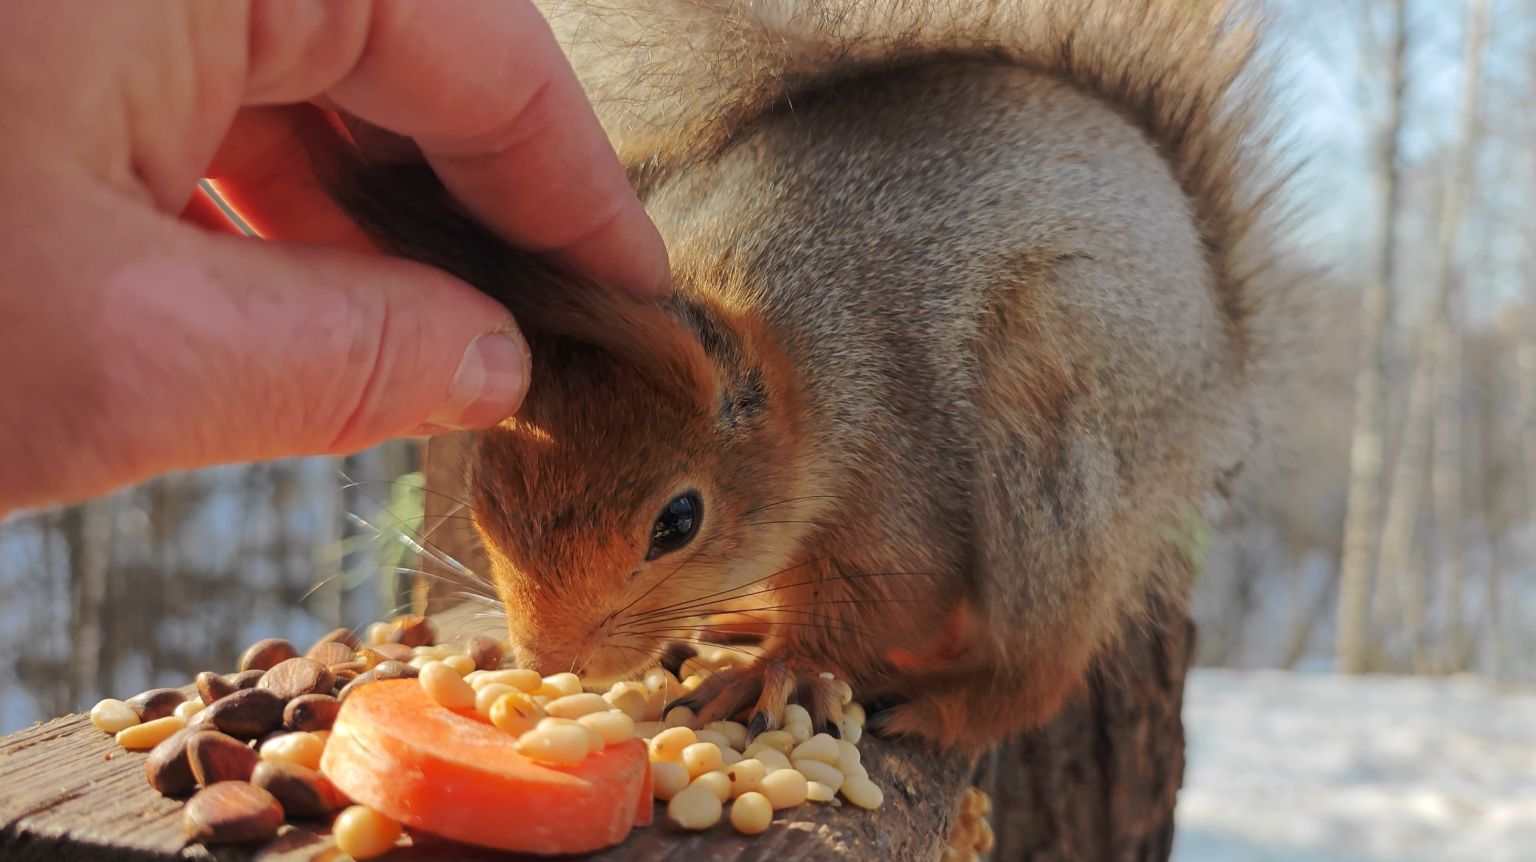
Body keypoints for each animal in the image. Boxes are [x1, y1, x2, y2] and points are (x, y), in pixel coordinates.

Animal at [324, 0, 1307, 750]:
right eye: (483, 497)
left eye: (678, 522)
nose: (554, 662)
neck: (803, 359)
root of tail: (1218, 354)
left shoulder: (897, 478)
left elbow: (891, 601)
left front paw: (773, 672)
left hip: (1057, 445)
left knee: (1037, 666)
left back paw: (947, 703)